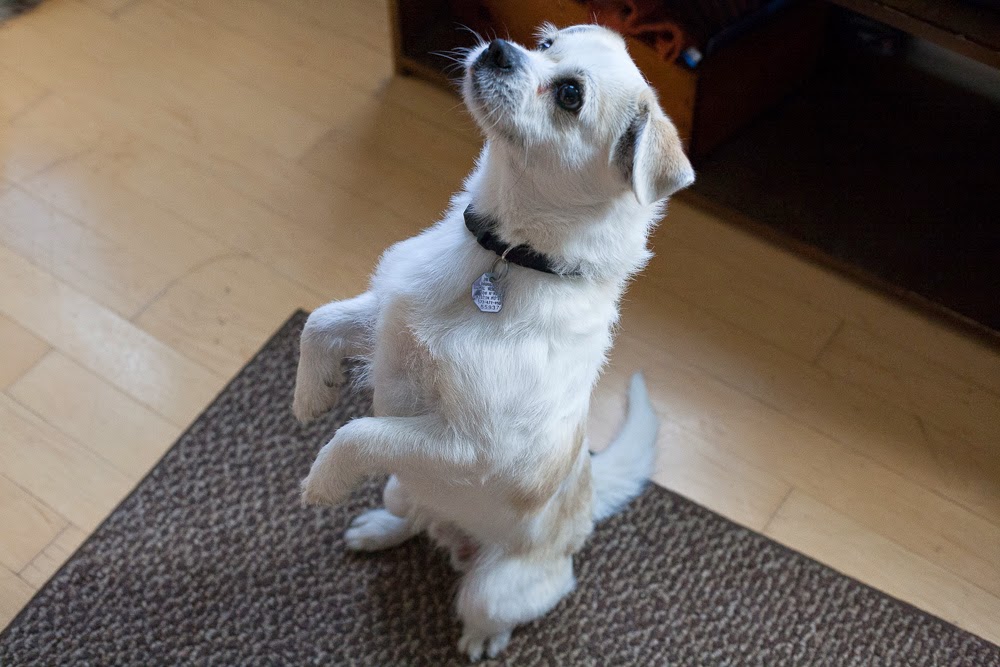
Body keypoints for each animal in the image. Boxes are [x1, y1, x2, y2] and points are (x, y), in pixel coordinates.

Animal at [293, 23, 694, 661]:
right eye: (546, 43)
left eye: (571, 96)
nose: (501, 48)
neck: (504, 254)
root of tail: (584, 515)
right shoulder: (388, 318)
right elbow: (322, 321)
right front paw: (312, 394)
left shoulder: (468, 448)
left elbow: (360, 432)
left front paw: (322, 483)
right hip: (399, 488)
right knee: (414, 514)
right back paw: (377, 529)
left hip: (496, 587)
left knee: (486, 600)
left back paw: (482, 639)